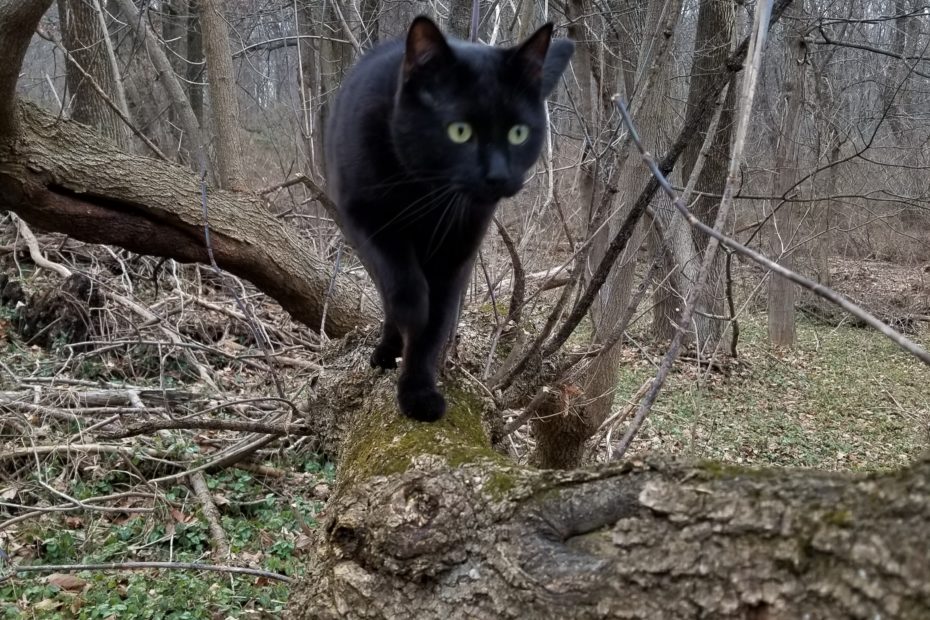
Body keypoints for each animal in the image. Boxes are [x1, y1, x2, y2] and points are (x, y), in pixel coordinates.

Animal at [326, 17, 572, 422]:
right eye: (459, 131)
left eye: (518, 133)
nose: (498, 175)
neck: (428, 195)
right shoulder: (361, 214)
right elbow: (401, 278)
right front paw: (413, 310)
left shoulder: (456, 251)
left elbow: (434, 326)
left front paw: (418, 392)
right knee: (386, 290)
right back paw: (387, 347)